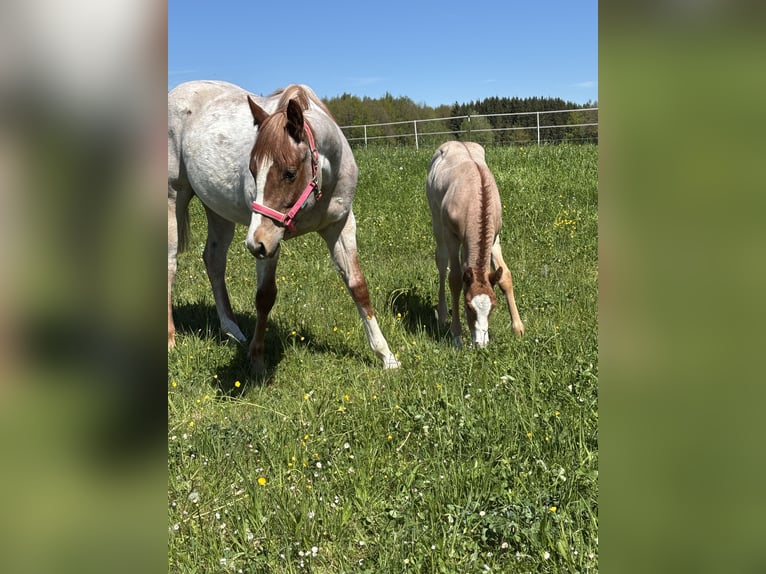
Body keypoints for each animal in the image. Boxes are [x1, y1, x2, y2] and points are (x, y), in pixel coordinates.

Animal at [168, 80, 400, 372]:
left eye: (290, 173)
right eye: (253, 170)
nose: (253, 244)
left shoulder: (341, 225)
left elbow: (358, 286)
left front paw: (386, 356)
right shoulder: (271, 239)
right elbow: (265, 296)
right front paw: (257, 360)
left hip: (219, 212)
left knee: (214, 260)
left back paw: (232, 330)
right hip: (174, 197)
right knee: (171, 263)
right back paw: (171, 339)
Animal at [426, 141, 525, 348]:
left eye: (493, 306)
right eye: (469, 306)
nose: (481, 343)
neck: (474, 202)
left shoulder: (494, 235)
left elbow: (505, 275)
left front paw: (518, 328)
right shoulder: (451, 235)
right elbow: (455, 279)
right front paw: (456, 336)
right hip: (436, 218)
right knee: (442, 261)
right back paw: (442, 314)